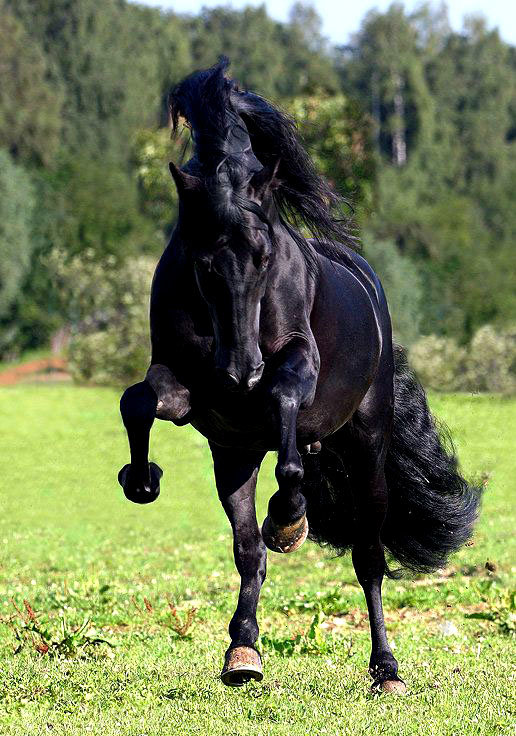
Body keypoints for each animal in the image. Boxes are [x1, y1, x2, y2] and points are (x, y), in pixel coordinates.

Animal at [118, 59, 481, 692]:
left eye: (265, 256)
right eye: (201, 262)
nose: (241, 373)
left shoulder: (295, 369)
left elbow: (286, 408)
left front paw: (289, 519)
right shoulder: (192, 394)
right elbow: (138, 400)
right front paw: (141, 479)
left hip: (366, 450)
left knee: (368, 559)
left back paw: (386, 669)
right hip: (233, 455)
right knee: (248, 552)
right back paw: (242, 652)